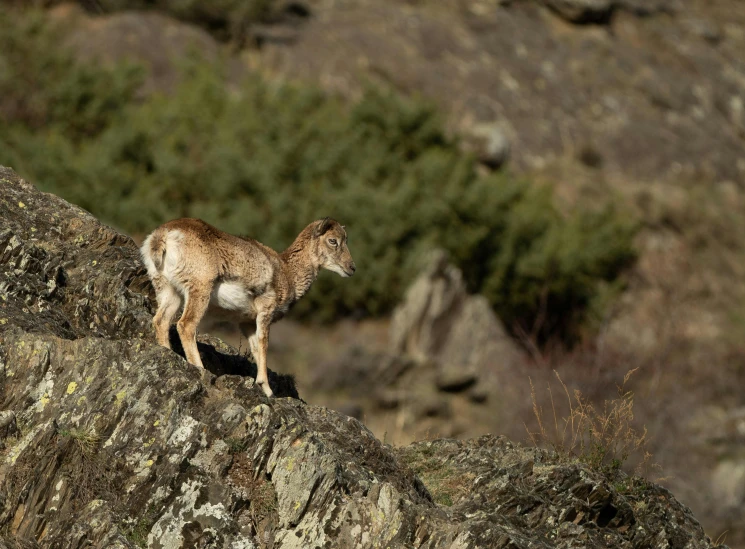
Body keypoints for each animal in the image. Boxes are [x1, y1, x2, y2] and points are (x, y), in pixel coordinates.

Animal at [142, 216, 358, 396]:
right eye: (333, 240)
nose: (352, 268)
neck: (287, 271)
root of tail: (162, 236)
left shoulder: (246, 323)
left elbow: (255, 348)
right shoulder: (265, 313)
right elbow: (264, 344)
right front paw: (268, 390)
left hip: (170, 293)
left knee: (161, 321)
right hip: (199, 291)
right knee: (185, 325)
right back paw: (200, 368)